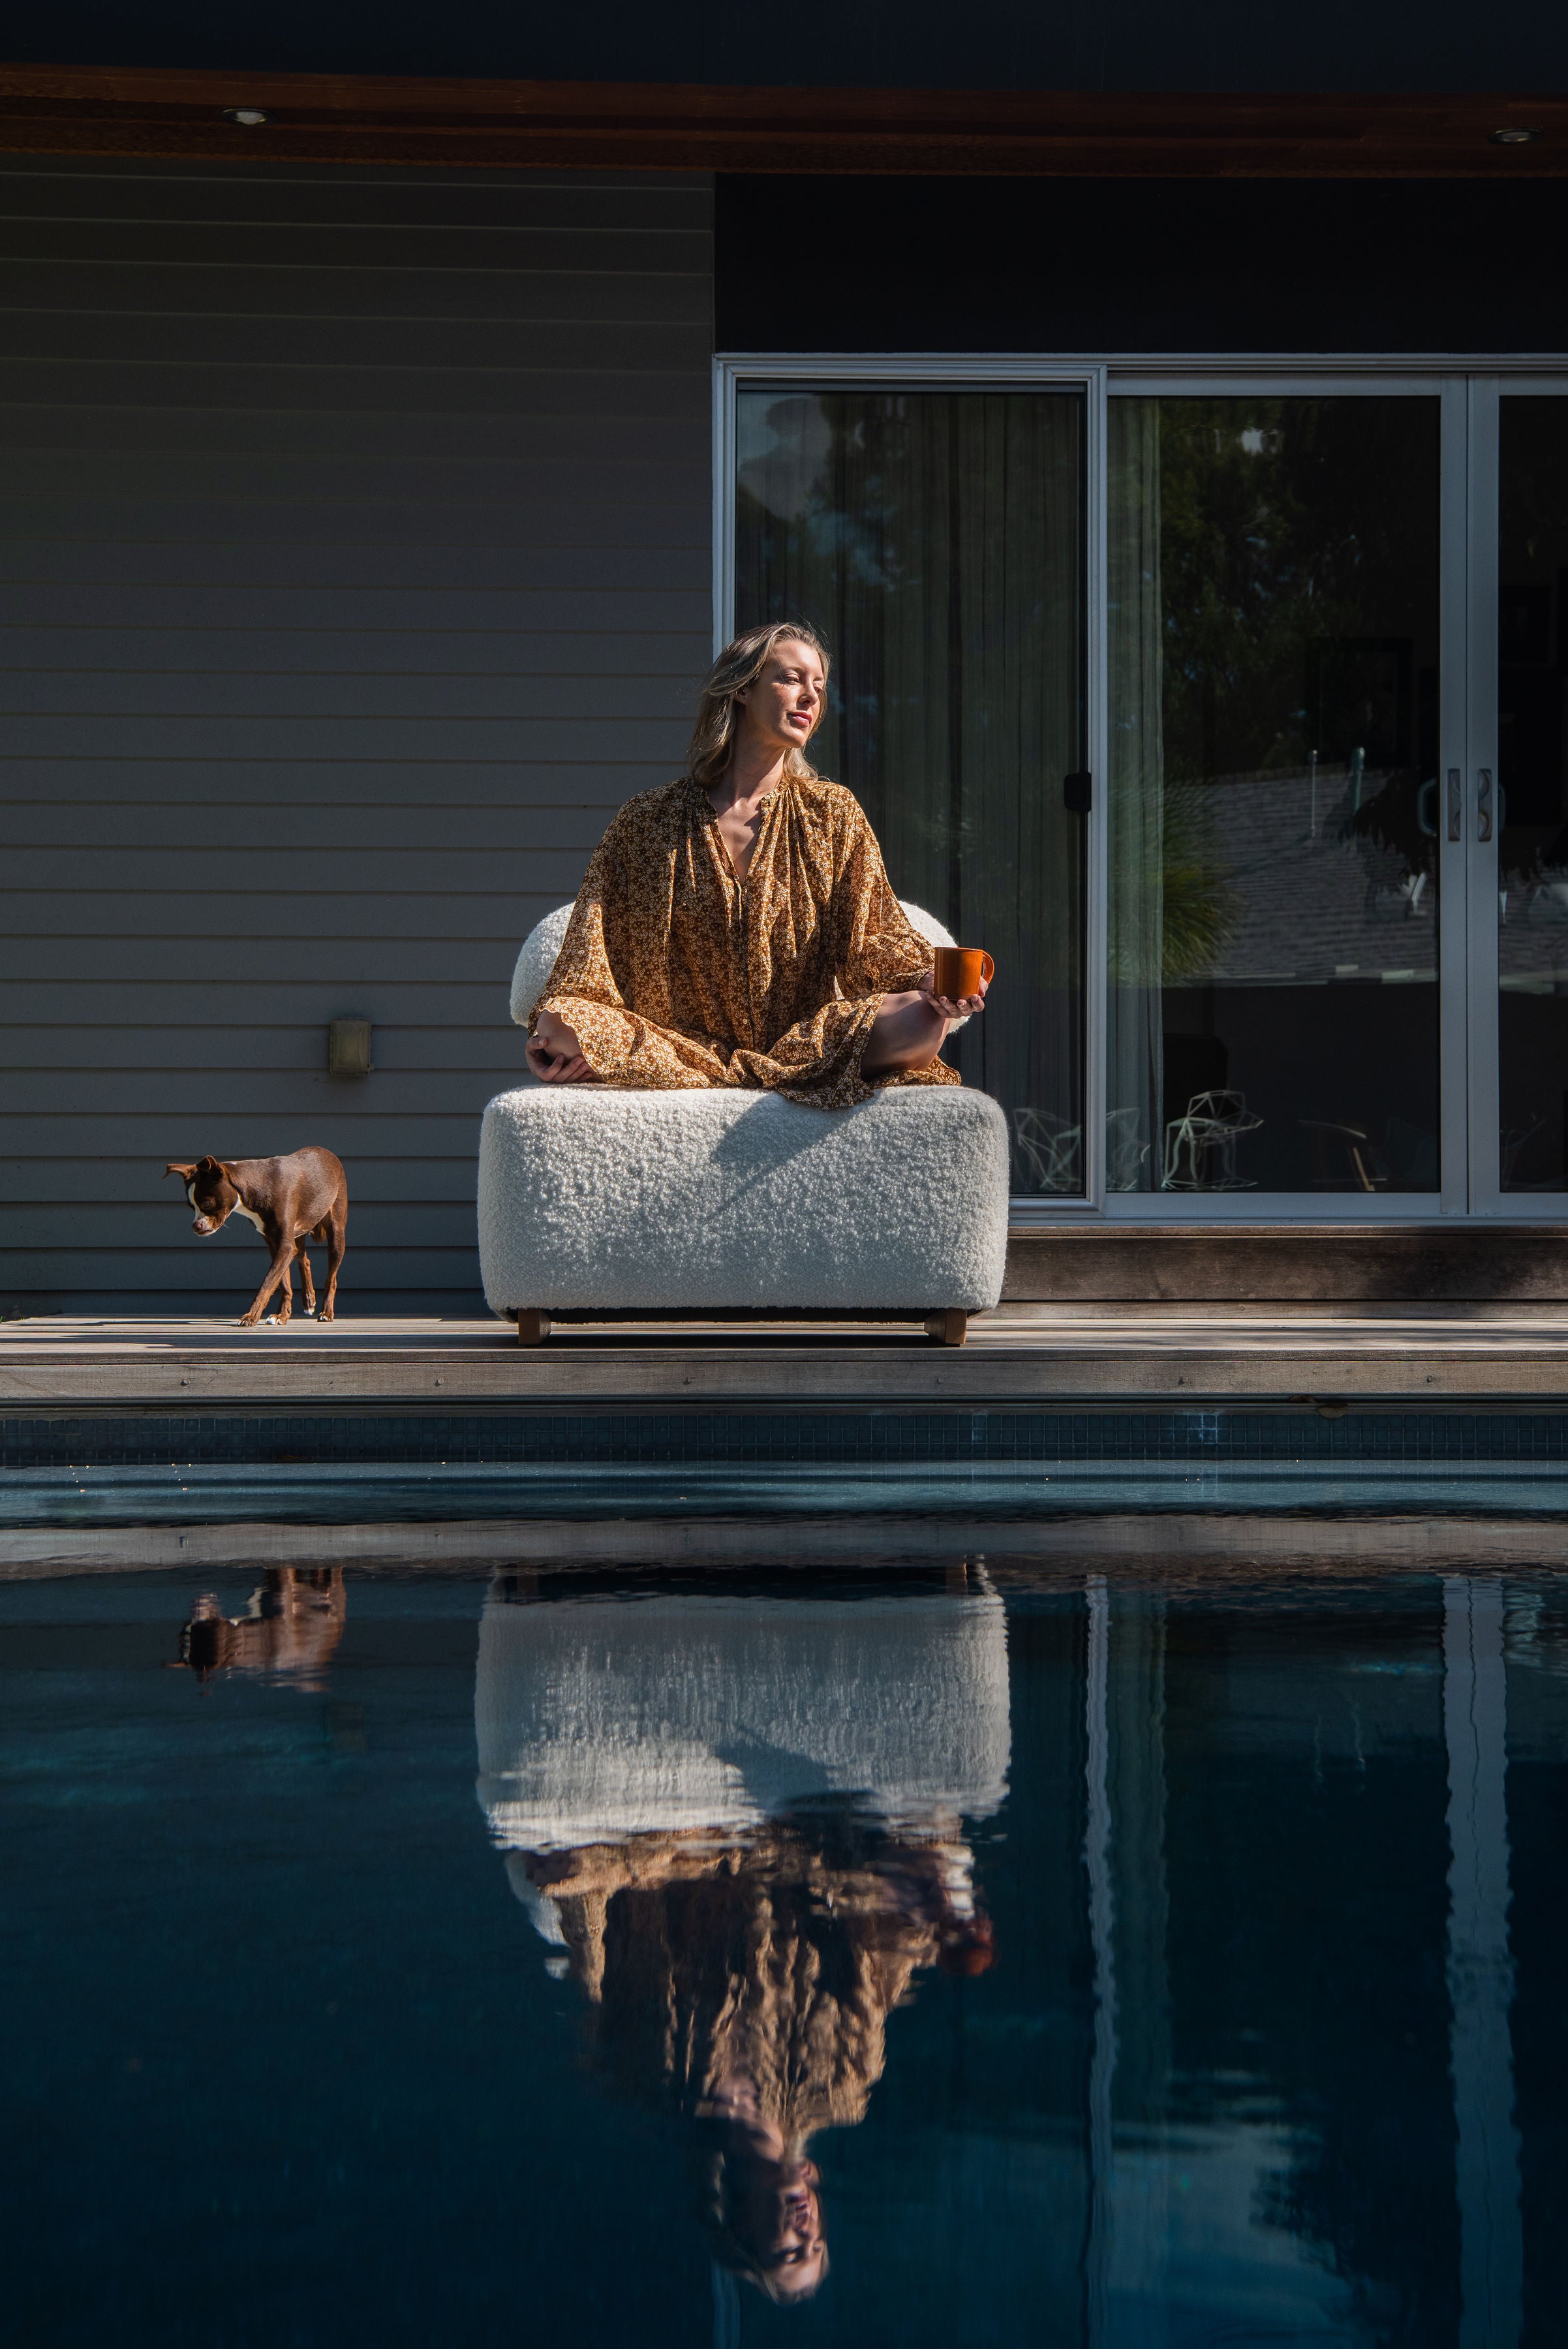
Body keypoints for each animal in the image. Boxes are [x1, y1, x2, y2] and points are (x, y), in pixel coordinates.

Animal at [164, 1151, 347, 1334]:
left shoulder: (285, 1247)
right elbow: (283, 1283)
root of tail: (327, 1153)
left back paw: (327, 1312)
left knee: (332, 1278)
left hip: (336, 1233)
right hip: (300, 1231)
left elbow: (268, 1282)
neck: (253, 1189)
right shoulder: (275, 1244)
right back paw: (309, 1299)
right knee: (304, 1259)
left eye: (207, 1204)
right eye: (191, 1206)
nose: (195, 1226)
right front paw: (282, 1315)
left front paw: (251, 1316)